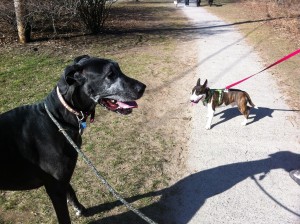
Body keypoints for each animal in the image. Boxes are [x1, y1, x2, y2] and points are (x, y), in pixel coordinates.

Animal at [0, 55, 146, 223]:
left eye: (119, 69)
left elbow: (70, 189)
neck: (57, 118)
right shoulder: (55, 187)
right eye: (110, 74)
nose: (143, 87)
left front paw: (79, 208)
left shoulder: (63, 176)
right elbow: (64, 216)